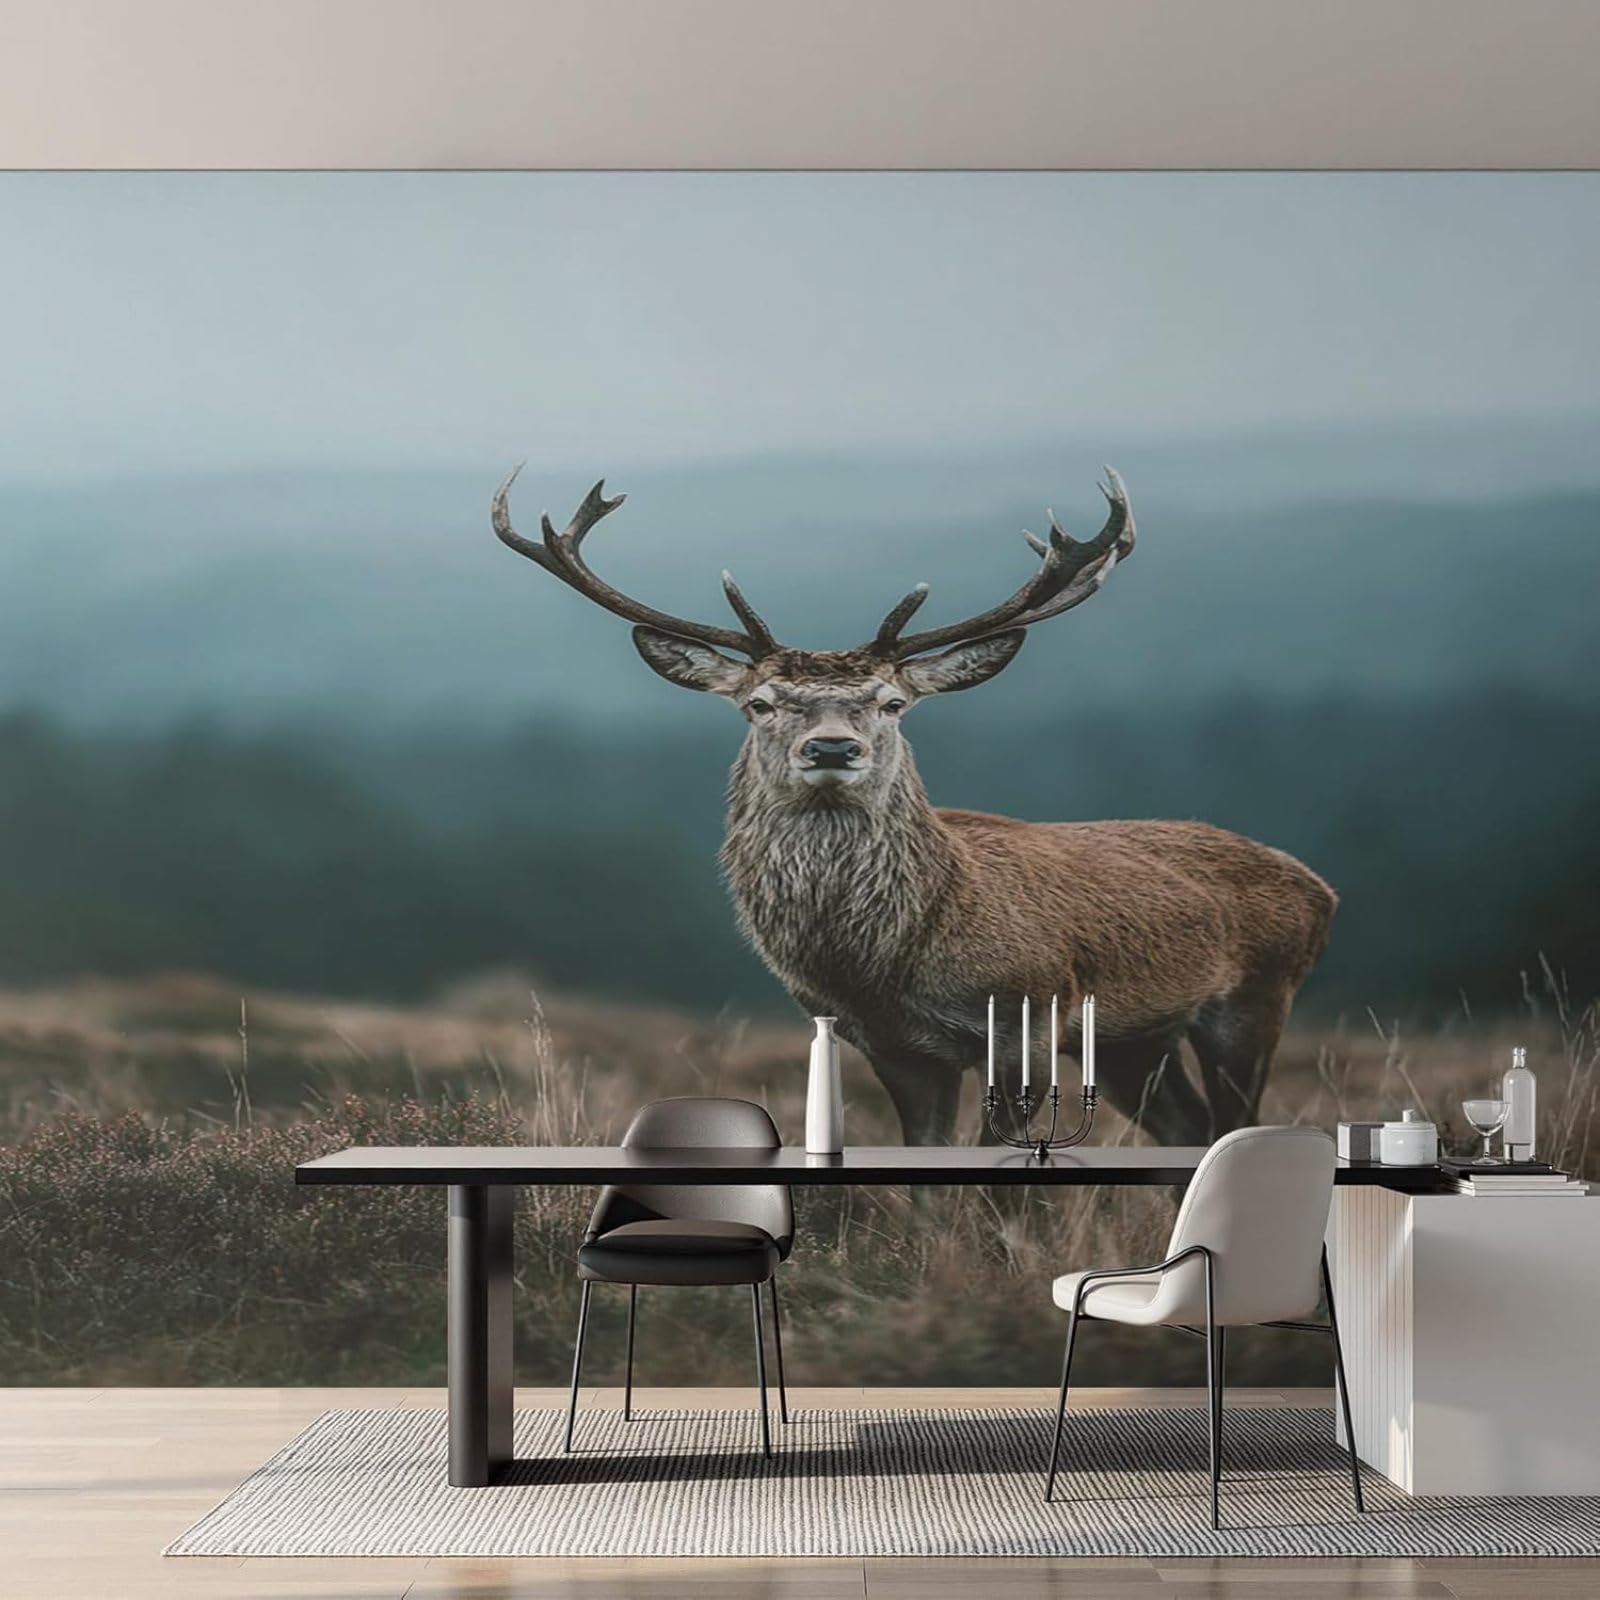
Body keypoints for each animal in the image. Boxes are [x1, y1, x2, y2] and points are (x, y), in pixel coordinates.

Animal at [492, 464, 1336, 1147]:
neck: (886, 961)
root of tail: (1320, 887)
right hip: (1138, 1041)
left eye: (892, 702)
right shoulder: (895, 1049)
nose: (833, 748)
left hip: (1255, 999)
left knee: (1233, 1121)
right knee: (1188, 1128)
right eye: (761, 703)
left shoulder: (1029, 1020)